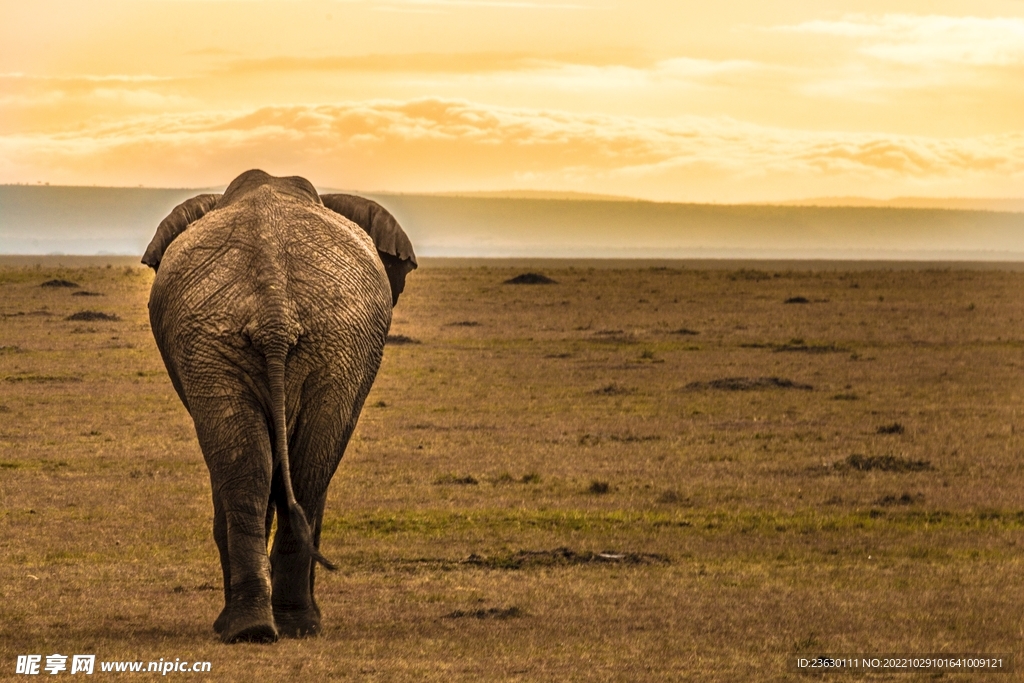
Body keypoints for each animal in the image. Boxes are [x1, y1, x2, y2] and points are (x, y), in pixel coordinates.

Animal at [142, 169, 416, 643]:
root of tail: (273, 307)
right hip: (268, 343)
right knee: (284, 472)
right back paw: (270, 626)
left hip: (322, 343)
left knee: (281, 471)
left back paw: (265, 627)